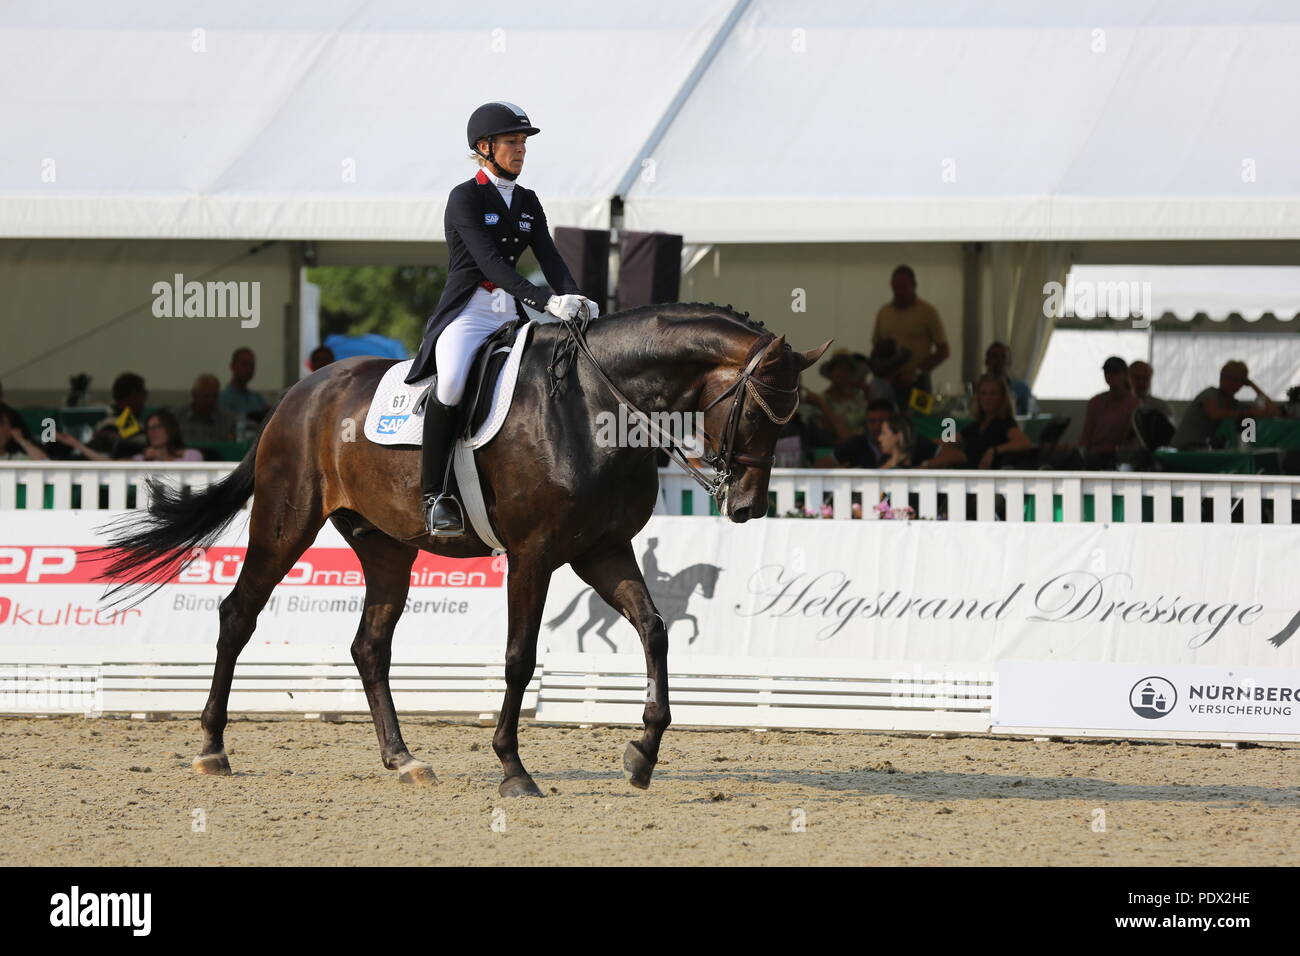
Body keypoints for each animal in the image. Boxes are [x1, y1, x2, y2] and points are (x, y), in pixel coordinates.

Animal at [101, 303, 832, 796]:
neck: (594, 405)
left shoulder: (603, 550)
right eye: (759, 410)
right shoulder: (535, 554)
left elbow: (654, 631)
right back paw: (211, 748)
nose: (746, 506)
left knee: (370, 646)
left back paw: (403, 759)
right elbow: (518, 659)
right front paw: (513, 769)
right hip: (285, 523)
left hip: (387, 548)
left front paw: (642, 753)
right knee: (238, 616)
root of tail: (299, 394)